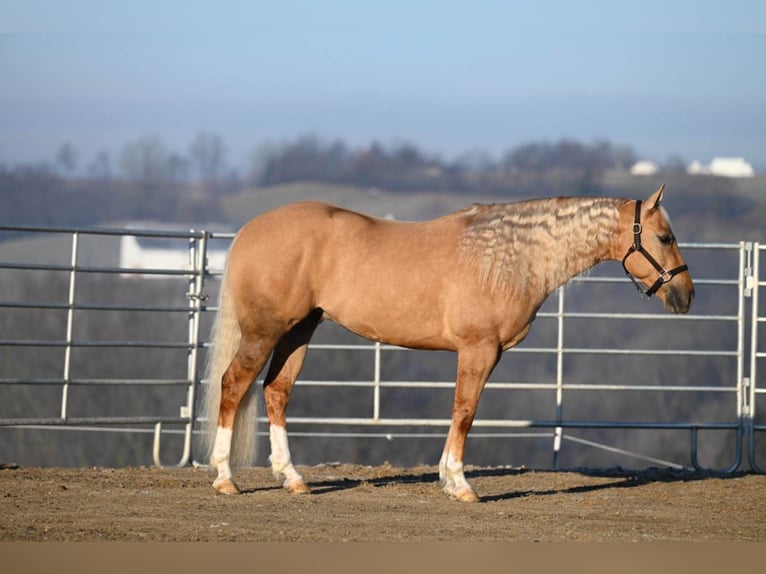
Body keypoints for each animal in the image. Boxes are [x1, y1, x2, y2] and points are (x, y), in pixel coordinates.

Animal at [200, 186, 696, 504]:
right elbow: (465, 411)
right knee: (234, 385)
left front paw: (447, 478)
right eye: (665, 237)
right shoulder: (479, 350)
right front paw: (458, 484)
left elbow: (461, 412)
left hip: (300, 330)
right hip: (265, 330)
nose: (686, 295)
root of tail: (250, 229)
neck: (509, 256)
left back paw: (292, 478)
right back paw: (224, 478)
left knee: (276, 392)